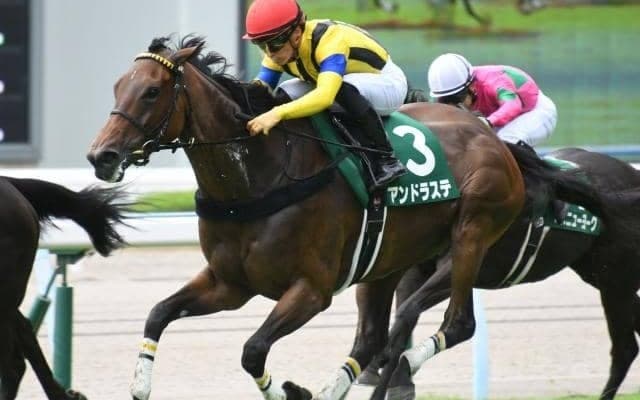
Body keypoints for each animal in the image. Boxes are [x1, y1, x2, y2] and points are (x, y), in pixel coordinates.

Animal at [361, 148, 640, 400]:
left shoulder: (465, 261)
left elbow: (408, 312)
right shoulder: (421, 269)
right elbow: (406, 317)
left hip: (616, 279)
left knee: (624, 349)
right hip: (600, 275)